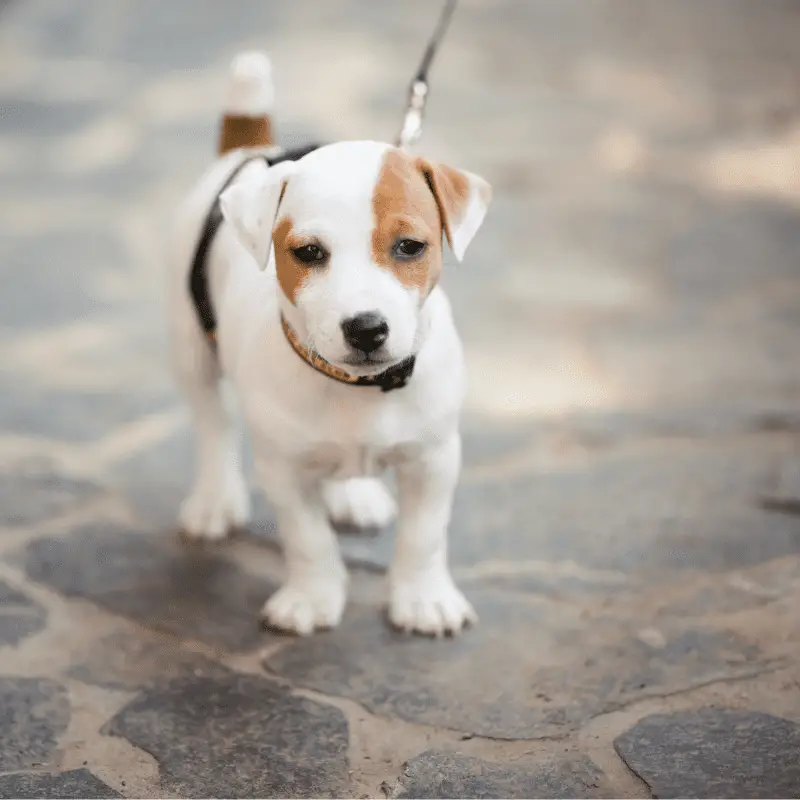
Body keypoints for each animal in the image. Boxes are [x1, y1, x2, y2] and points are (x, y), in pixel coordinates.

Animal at [172, 50, 490, 636]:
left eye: (410, 246)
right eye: (308, 252)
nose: (365, 328)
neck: (355, 388)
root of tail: (250, 151)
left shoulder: (434, 459)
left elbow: (424, 536)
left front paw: (424, 599)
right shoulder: (284, 470)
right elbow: (308, 538)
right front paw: (311, 598)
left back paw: (355, 494)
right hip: (190, 344)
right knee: (212, 423)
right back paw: (214, 500)